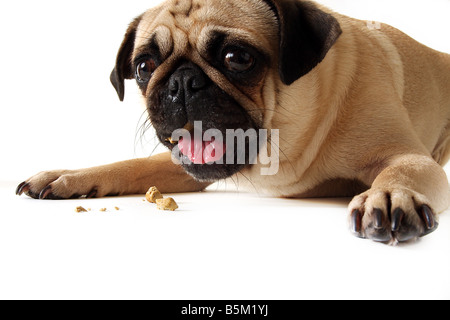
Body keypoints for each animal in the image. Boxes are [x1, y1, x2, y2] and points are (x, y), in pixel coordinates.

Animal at [15, 0, 448, 245]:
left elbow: (402, 172)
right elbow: (129, 165)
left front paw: (389, 195)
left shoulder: (408, 157)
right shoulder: (185, 170)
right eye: (144, 67)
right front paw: (71, 175)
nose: (181, 83)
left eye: (237, 58)